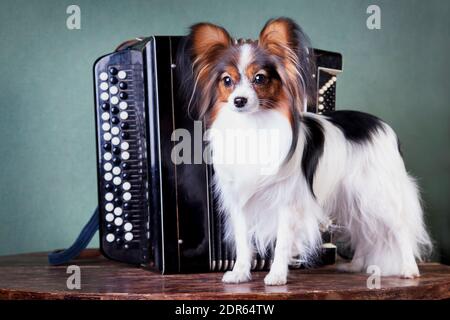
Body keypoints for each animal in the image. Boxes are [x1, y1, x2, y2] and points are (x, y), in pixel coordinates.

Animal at [177, 17, 432, 284]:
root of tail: (382, 126)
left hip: (378, 195)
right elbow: (243, 243)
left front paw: (277, 276)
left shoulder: (287, 203)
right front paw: (240, 273)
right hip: (353, 199)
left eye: (259, 79)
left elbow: (282, 243)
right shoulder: (241, 201)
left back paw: (409, 269)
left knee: (400, 228)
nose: (239, 101)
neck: (253, 125)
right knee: (364, 231)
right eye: (227, 81)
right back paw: (355, 265)